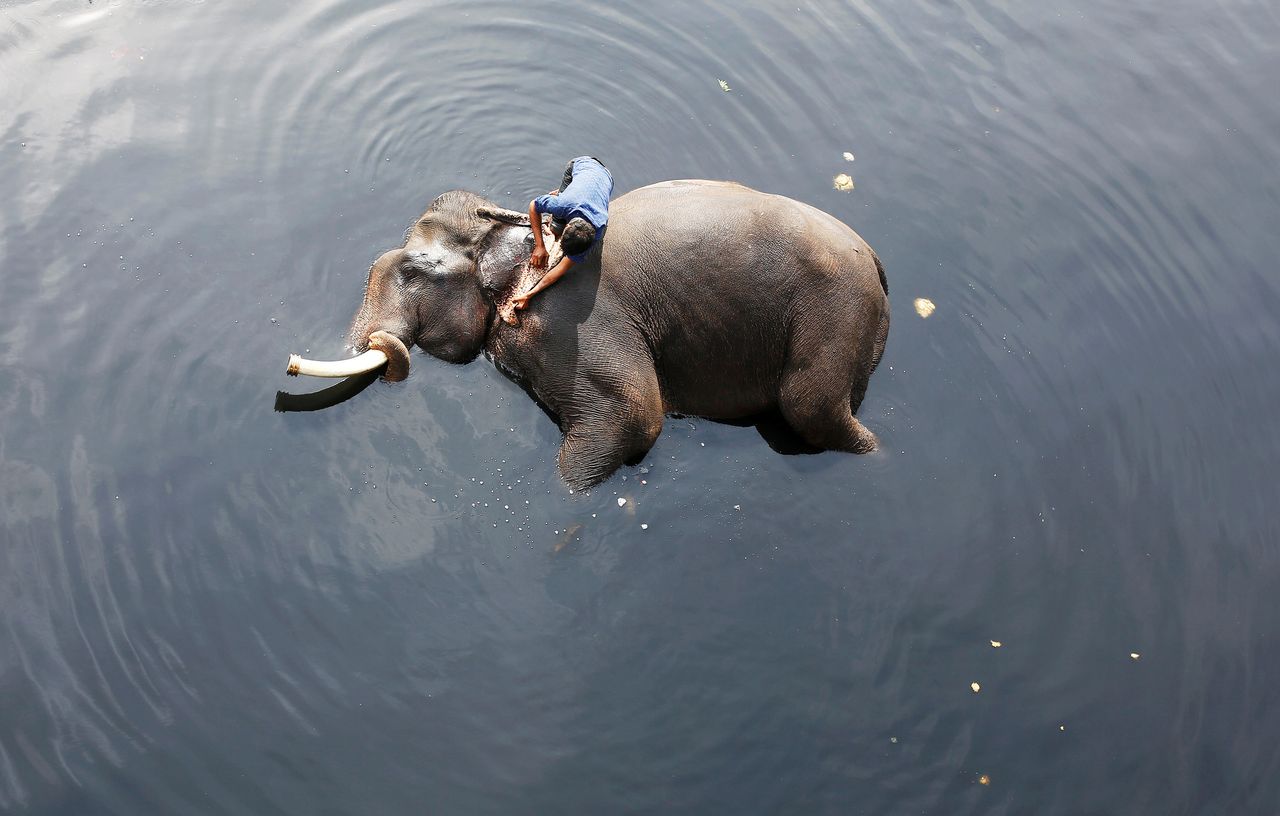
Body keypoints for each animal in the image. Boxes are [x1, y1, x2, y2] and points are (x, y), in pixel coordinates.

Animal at [293, 181, 890, 488]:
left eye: (415, 271)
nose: (291, 364)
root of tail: (877, 263)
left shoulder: (570, 322)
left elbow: (635, 416)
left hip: (834, 314)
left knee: (810, 408)